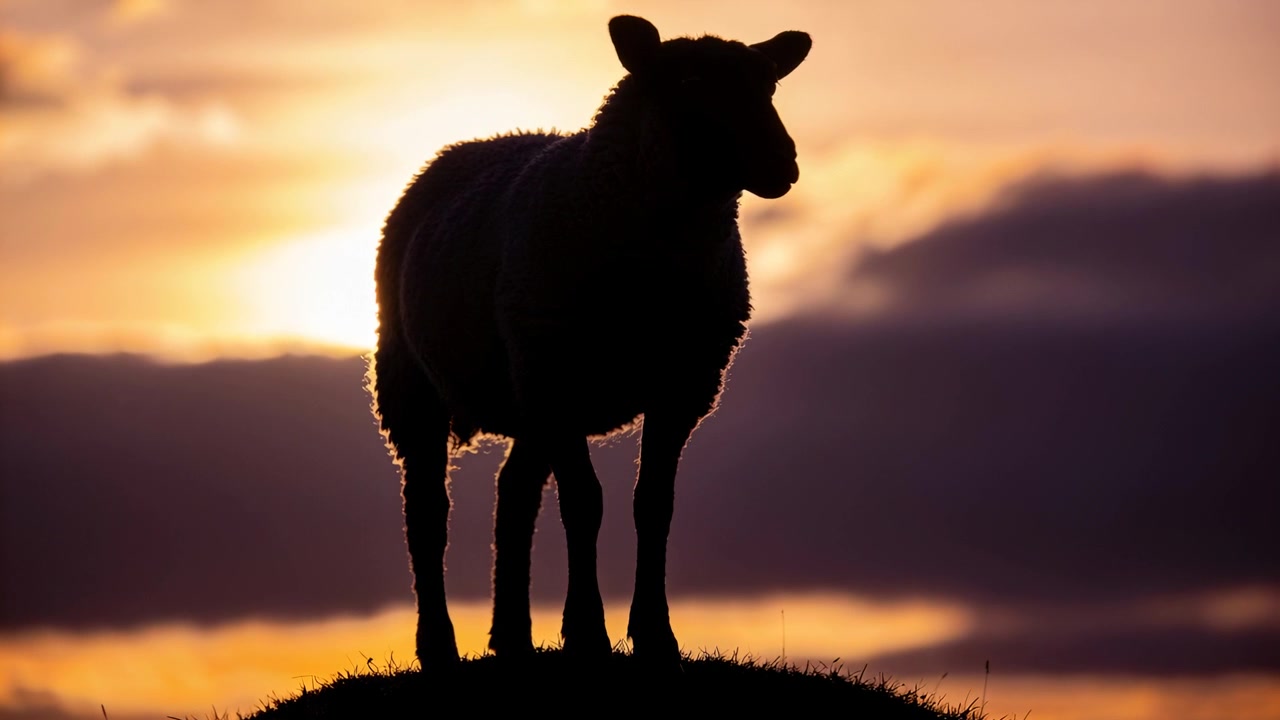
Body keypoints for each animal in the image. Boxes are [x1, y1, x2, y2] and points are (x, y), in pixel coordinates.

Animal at [371, 14, 811, 668]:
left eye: (770, 84)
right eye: (688, 82)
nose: (782, 162)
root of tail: (470, 144)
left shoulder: (683, 385)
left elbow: (653, 504)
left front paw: (655, 635)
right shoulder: (560, 381)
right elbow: (585, 503)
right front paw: (586, 633)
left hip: (527, 387)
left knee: (514, 496)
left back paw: (512, 637)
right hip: (417, 379)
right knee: (428, 511)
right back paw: (439, 645)